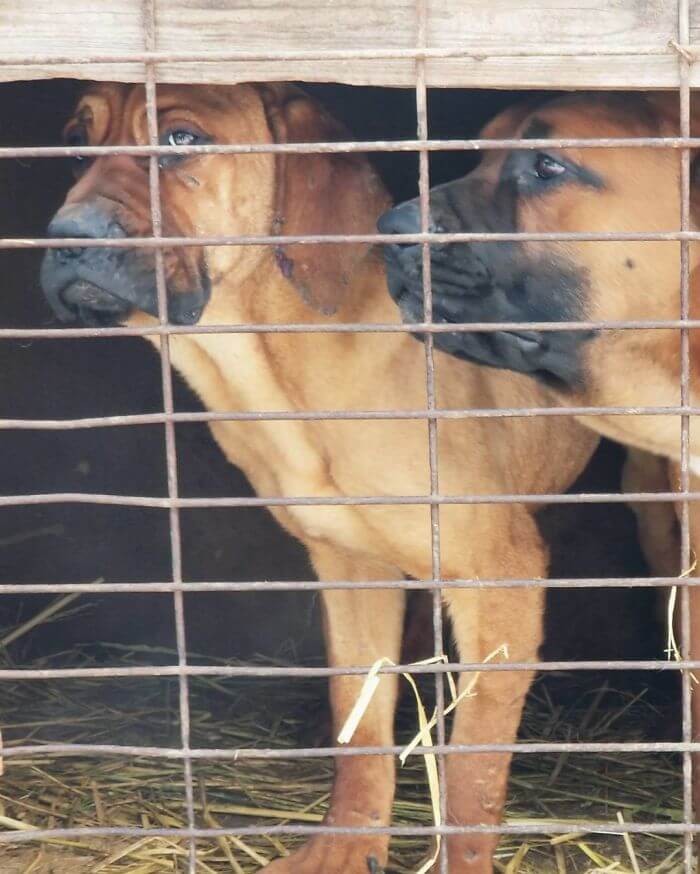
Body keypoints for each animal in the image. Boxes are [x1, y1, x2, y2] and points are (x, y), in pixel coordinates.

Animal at [41, 83, 604, 872]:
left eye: (182, 139)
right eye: (73, 143)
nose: (65, 237)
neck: (275, 369)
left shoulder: (500, 578)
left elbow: (474, 774)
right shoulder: (351, 568)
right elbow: (359, 727)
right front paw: (345, 846)